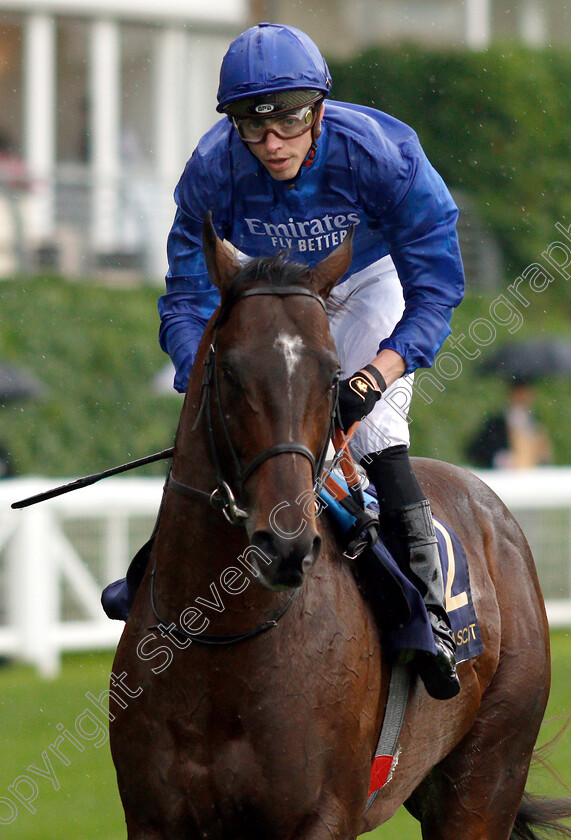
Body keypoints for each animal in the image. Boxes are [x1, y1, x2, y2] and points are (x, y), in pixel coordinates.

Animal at [109, 218, 568, 840]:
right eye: (228, 371)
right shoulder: (154, 818)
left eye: (332, 376)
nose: (285, 543)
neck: (222, 642)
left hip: (489, 772)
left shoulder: (321, 814)